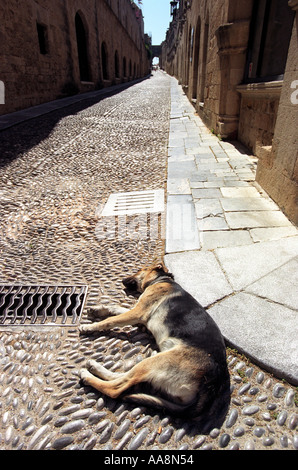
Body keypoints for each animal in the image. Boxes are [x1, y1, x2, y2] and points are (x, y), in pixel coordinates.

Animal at [79, 262, 230, 428]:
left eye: (140, 270)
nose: (122, 279)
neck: (161, 280)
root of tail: (214, 384)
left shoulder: (138, 312)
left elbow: (110, 320)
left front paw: (90, 326)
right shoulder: (138, 314)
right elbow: (115, 308)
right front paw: (97, 309)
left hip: (154, 362)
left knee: (117, 388)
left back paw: (87, 375)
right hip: (154, 366)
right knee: (123, 377)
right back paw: (94, 367)